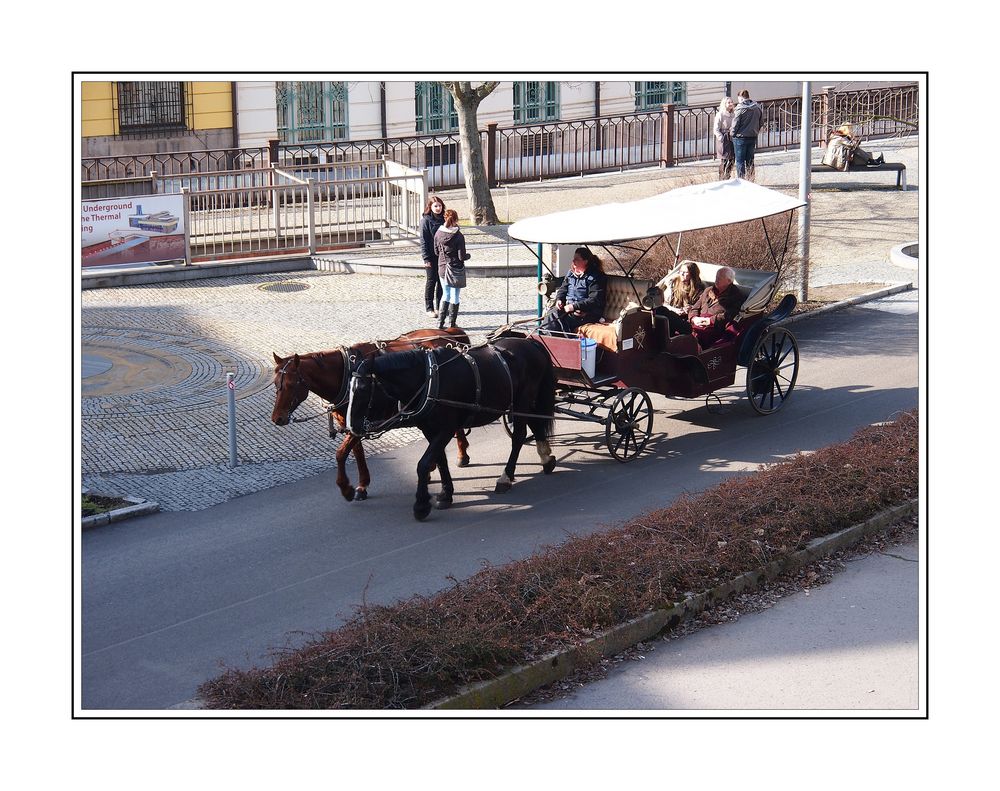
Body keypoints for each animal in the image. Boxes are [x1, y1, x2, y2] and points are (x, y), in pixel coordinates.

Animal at [272, 326, 470, 502]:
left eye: (291, 384)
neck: (347, 373)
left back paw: (461, 456)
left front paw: (346, 488)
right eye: (275, 383)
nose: (277, 418)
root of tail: (447, 332)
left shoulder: (362, 421)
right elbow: (357, 453)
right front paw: (362, 485)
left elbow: (340, 453)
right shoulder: (352, 423)